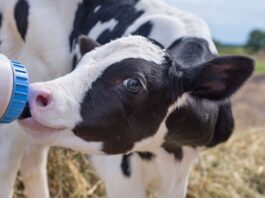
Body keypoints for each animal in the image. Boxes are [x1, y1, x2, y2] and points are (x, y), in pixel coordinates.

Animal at [0, 0, 253, 198]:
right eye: (81, 63)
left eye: (133, 83)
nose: (35, 93)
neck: (168, 149)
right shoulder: (121, 175)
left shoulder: (179, 174)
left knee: (33, 157)